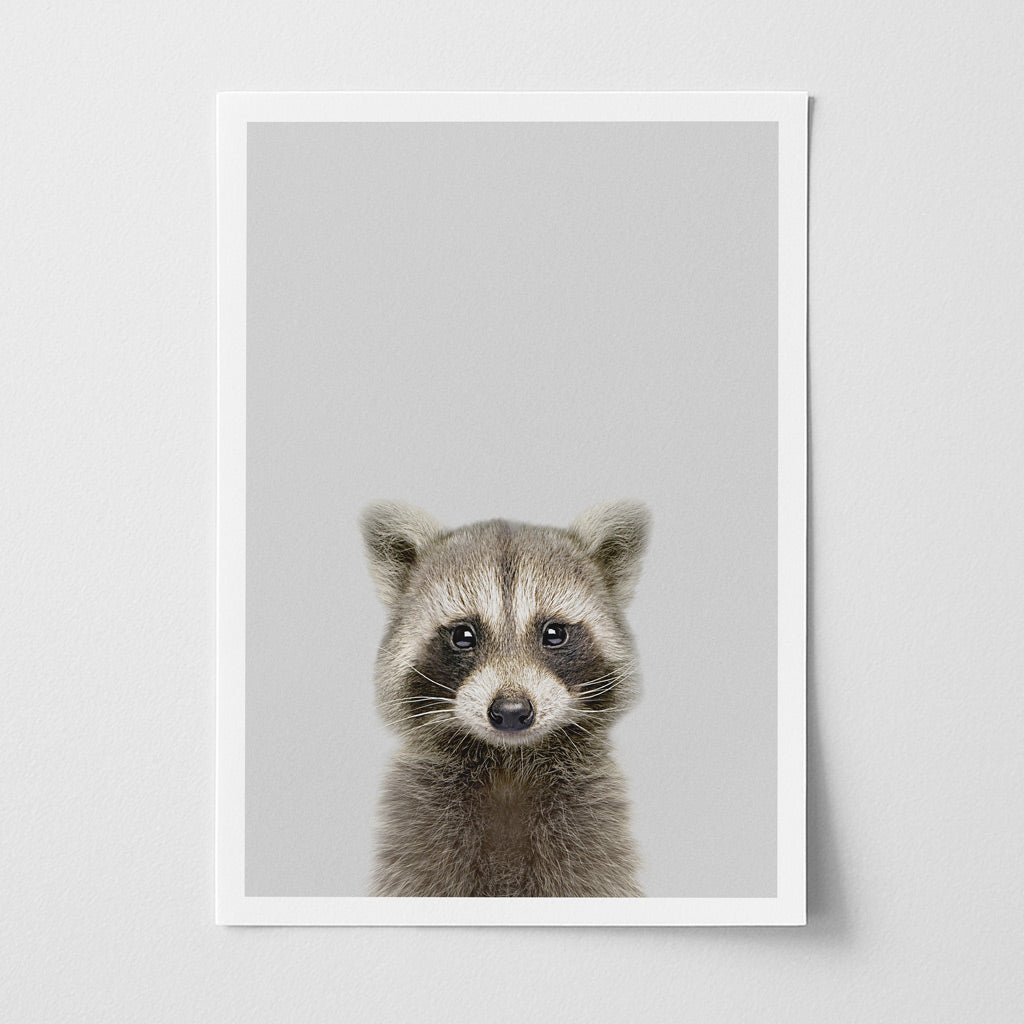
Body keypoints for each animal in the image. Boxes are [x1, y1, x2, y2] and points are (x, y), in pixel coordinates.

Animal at [360, 500, 650, 897]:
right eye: (463, 635)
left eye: (554, 633)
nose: (511, 712)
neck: (508, 764)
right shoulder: (420, 830)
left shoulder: (591, 826)